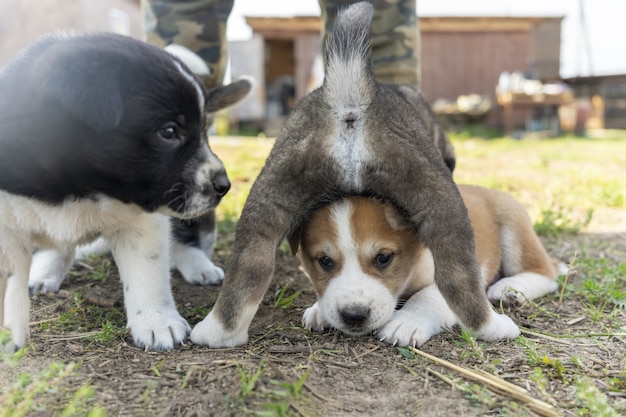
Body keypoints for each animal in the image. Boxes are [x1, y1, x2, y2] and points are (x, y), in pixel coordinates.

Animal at [1, 32, 251, 350]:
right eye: (169, 132)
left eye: (203, 132)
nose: (224, 186)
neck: (86, 187)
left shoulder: (145, 220)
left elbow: (147, 272)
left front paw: (157, 323)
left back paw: (198, 265)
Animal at [189, 2, 516, 348]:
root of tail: (348, 96)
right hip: (444, 207)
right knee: (458, 280)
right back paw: (494, 327)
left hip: (264, 208)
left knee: (247, 275)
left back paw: (215, 332)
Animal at [292, 184, 560, 344]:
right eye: (325, 261)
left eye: (383, 258)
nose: (353, 315)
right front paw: (320, 310)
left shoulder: (454, 276)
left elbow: (428, 297)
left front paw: (407, 322)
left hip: (513, 226)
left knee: (548, 273)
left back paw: (510, 289)